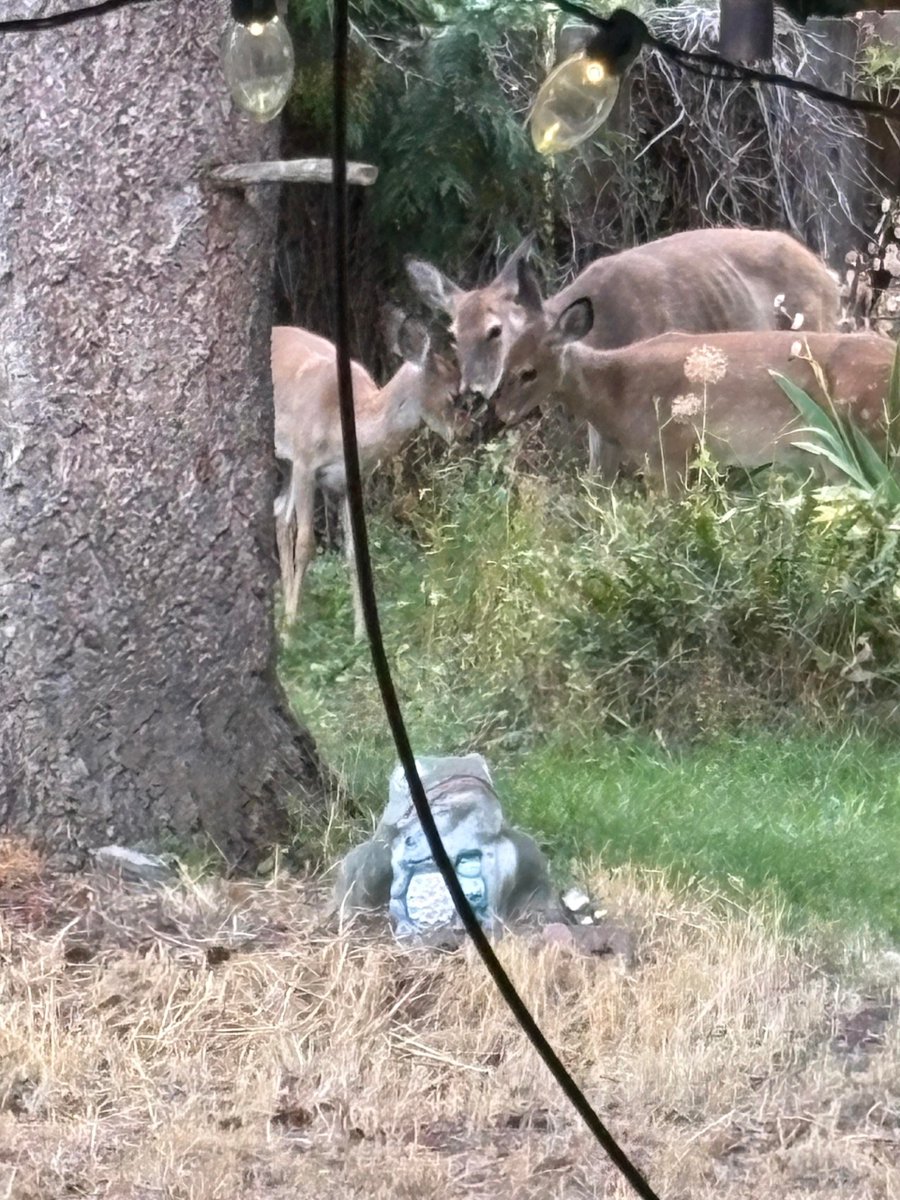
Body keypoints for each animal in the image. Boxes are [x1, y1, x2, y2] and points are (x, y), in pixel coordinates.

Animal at [273, 316, 464, 639]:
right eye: (453, 396)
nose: (461, 434)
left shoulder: (348, 480)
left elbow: (353, 552)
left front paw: (361, 633)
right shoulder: (305, 461)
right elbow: (307, 543)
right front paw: (292, 631)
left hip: (287, 467)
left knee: (279, 516)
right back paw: (287, 624)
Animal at [493, 261, 896, 492]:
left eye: (528, 372)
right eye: (505, 358)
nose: (500, 412)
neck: (615, 394)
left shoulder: (670, 452)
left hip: (859, 443)